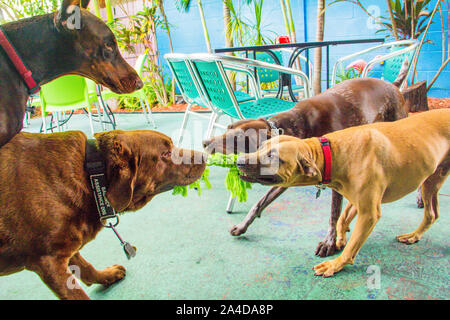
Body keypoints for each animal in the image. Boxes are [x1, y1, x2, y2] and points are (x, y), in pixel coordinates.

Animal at [237, 109, 448, 276]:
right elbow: (342, 217)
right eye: (261, 147)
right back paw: (414, 235)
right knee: (433, 213)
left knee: (431, 213)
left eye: (273, 156)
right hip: (431, 179)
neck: (330, 152)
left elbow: (352, 245)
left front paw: (335, 264)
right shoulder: (355, 199)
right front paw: (339, 237)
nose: (239, 161)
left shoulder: (369, 213)